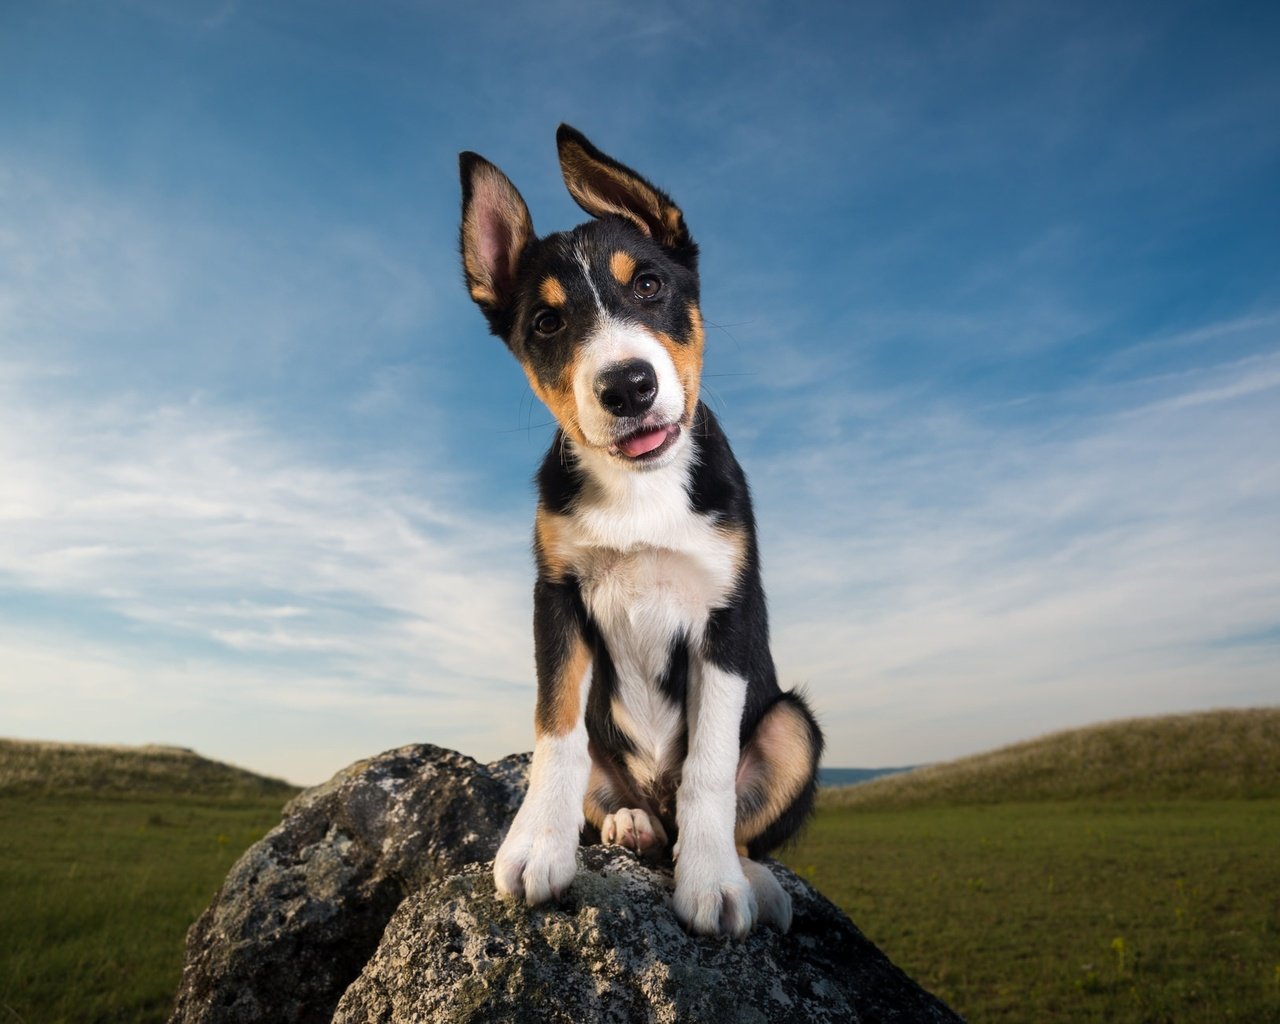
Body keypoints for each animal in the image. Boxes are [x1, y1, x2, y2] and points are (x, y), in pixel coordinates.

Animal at [458, 124, 819, 942]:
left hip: (793, 725)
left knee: (733, 813)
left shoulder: (728, 610)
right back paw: (631, 823)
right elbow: (555, 733)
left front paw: (712, 883)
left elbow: (711, 768)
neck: (639, 489)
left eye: (650, 286)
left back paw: (747, 877)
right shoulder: (556, 597)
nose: (627, 386)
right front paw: (537, 847)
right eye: (547, 323)